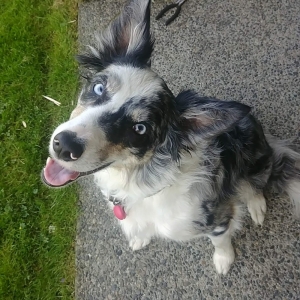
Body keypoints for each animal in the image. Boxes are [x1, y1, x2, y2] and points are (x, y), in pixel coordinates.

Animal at [42, 0, 300, 274]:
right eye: (99, 88)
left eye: (140, 129)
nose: (64, 145)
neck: (139, 179)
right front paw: (140, 237)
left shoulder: (216, 218)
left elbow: (220, 240)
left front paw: (224, 260)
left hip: (253, 157)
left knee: (256, 183)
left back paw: (257, 205)